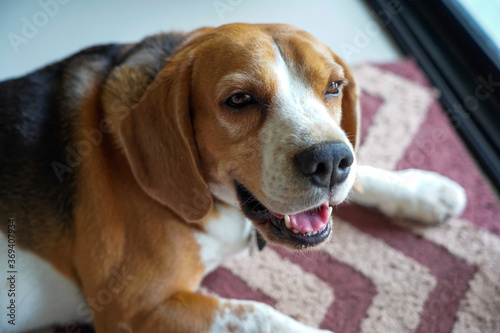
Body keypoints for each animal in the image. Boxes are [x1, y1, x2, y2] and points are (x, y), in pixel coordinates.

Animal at [0, 24, 464, 332]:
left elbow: (363, 168)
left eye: (334, 87)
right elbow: (260, 313)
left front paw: (424, 190)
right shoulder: (135, 306)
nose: (331, 162)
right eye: (239, 100)